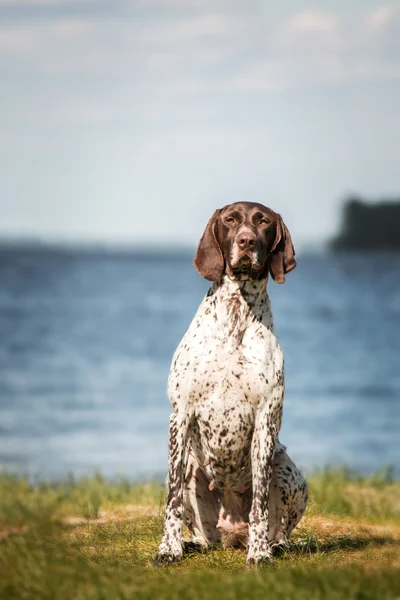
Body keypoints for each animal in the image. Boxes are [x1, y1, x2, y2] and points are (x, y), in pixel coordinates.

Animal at [155, 204, 308, 564]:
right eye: (230, 220)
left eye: (263, 221)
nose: (246, 241)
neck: (236, 314)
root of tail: (231, 535)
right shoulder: (180, 414)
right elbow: (171, 502)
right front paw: (168, 549)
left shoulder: (266, 417)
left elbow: (260, 506)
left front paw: (260, 554)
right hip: (190, 468)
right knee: (198, 528)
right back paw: (191, 543)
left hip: (288, 470)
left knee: (279, 527)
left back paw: (271, 545)